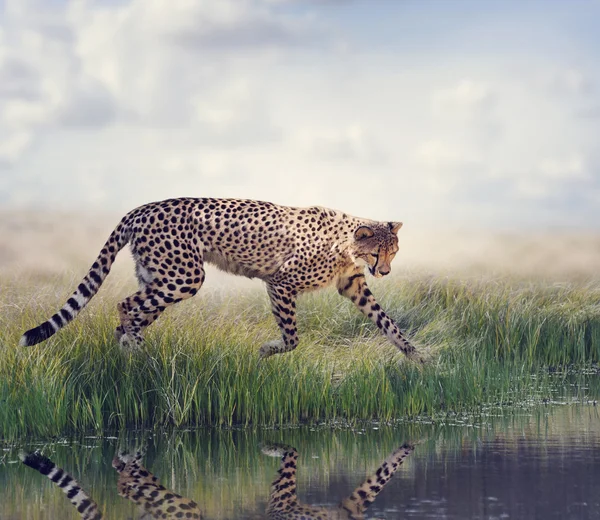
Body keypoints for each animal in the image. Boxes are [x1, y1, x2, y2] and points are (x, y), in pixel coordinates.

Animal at [18, 197, 422, 360]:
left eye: (393, 252)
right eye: (376, 253)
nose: (385, 271)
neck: (345, 243)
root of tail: (140, 208)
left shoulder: (354, 286)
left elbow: (389, 324)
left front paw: (419, 360)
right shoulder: (281, 282)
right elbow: (292, 336)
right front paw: (268, 350)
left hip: (160, 277)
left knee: (133, 311)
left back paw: (130, 358)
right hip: (184, 276)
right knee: (125, 305)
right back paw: (136, 351)